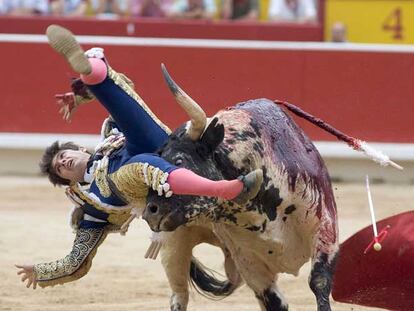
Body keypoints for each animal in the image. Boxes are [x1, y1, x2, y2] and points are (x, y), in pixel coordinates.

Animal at [142, 64, 340, 310]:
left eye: (179, 161)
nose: (151, 211)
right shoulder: (250, 263)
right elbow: (275, 302)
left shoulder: (325, 230)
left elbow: (319, 281)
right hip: (173, 247)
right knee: (179, 295)